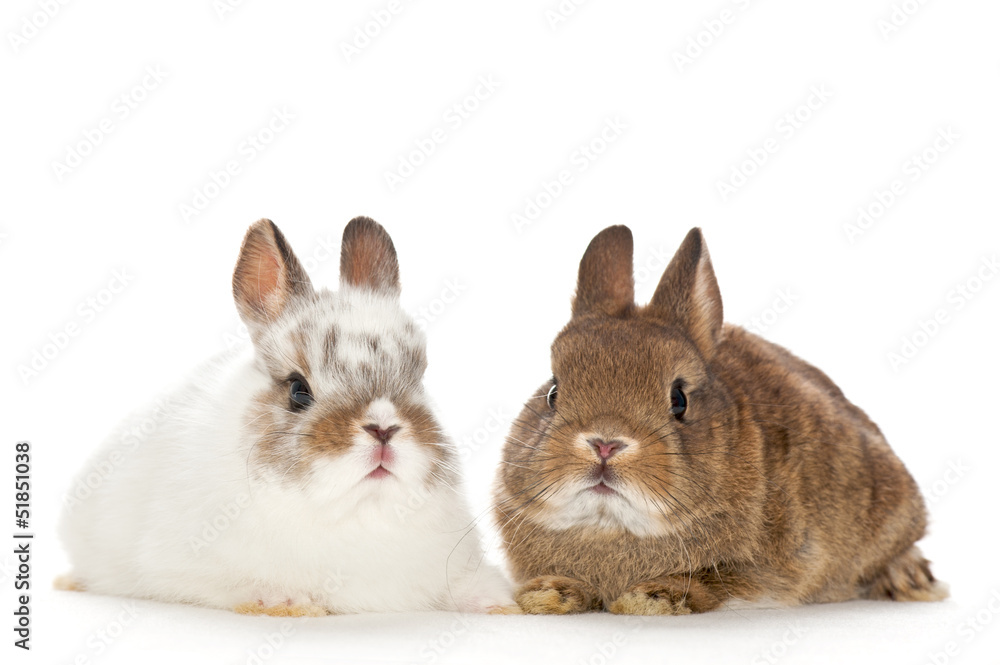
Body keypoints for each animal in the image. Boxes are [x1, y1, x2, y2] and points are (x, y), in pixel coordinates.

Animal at [58, 217, 511, 616]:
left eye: (419, 379)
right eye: (298, 391)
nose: (384, 429)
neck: (356, 514)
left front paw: (498, 602)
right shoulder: (182, 567)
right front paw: (287, 603)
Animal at [493, 225, 946, 615]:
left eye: (679, 399)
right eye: (553, 393)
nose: (605, 444)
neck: (610, 528)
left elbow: (712, 582)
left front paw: (651, 597)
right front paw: (549, 594)